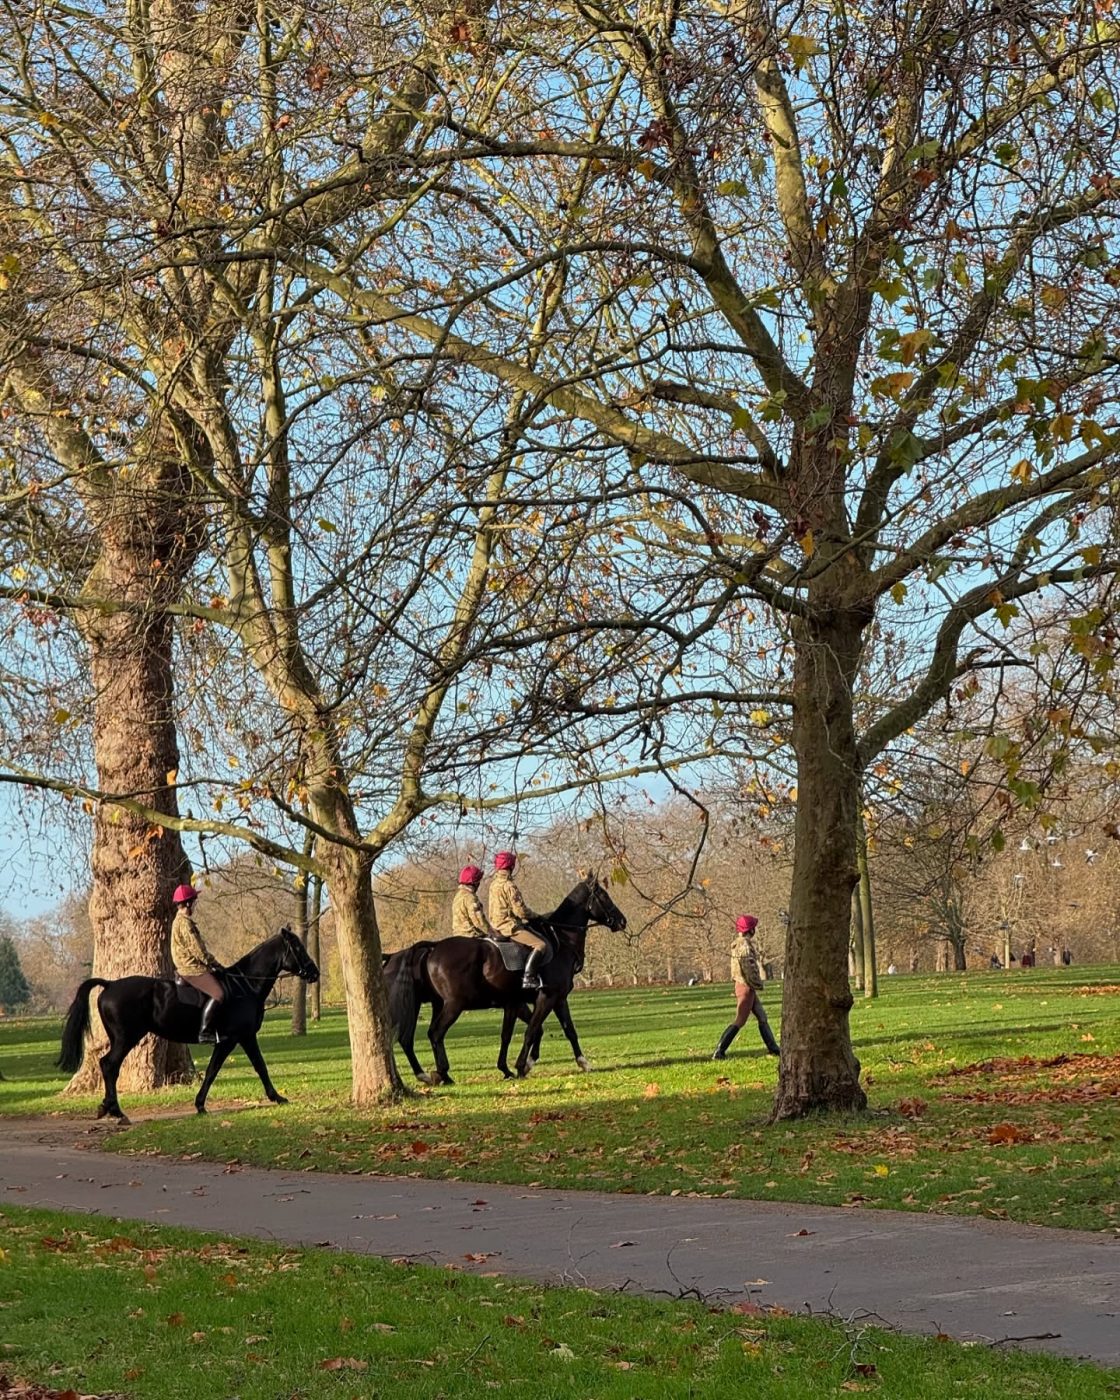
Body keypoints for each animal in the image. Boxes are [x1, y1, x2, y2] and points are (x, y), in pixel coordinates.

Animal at [58, 929, 319, 1125]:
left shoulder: (240, 1038)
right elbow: (232, 1068)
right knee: (110, 1065)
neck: (244, 986)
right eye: (297, 947)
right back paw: (117, 1112)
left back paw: (106, 1108)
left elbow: (245, 1067)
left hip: (121, 1038)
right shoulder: (236, 1038)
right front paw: (275, 1097)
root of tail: (110, 984)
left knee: (106, 1065)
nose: (314, 972)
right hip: (126, 1038)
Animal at [386, 873, 630, 1080]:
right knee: (434, 1033)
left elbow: (562, 1030)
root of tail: (434, 948)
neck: (561, 941)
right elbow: (532, 1031)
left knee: (418, 1037)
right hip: (453, 1005)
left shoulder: (539, 1000)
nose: (622, 921)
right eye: (604, 895)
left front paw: (582, 1062)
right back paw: (442, 1074)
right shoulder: (547, 997)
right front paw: (522, 1066)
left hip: (437, 1004)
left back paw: (436, 1074)